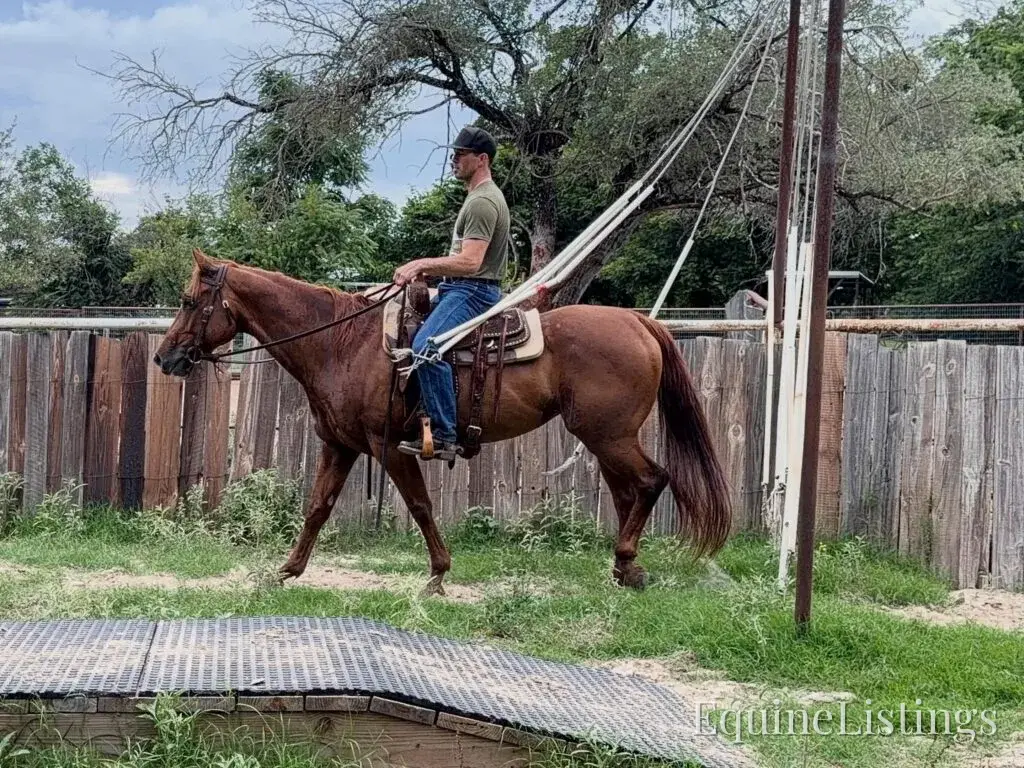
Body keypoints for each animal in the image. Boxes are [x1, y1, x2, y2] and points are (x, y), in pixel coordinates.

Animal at [154, 248, 731, 594]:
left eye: (188, 300)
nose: (165, 357)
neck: (342, 342)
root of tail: (639, 322)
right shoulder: (340, 445)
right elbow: (318, 508)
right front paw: (287, 570)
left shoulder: (389, 447)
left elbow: (420, 506)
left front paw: (437, 574)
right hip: (606, 438)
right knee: (629, 491)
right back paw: (625, 568)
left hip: (608, 435)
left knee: (652, 481)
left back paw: (627, 561)